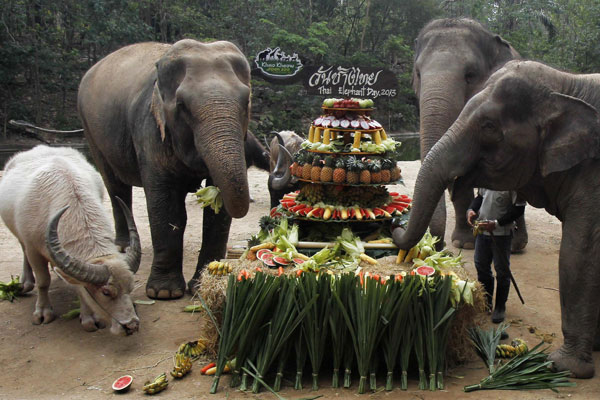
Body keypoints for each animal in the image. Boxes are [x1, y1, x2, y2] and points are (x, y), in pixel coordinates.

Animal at [0, 145, 142, 334]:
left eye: (131, 287)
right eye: (106, 292)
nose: (131, 325)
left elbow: (78, 286)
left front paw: (88, 317)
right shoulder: (33, 248)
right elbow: (43, 281)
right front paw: (43, 312)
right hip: (20, 235)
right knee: (23, 250)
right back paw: (26, 282)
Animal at [77, 39, 251, 296]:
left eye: (246, 102)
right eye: (182, 105)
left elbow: (216, 212)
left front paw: (199, 287)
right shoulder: (150, 129)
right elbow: (165, 204)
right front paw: (164, 293)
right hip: (90, 130)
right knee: (114, 185)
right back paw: (122, 246)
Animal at [392, 59, 600, 378]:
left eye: (489, 127)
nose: (394, 223)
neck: (565, 84)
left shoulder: (593, 174)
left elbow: (579, 252)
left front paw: (563, 367)